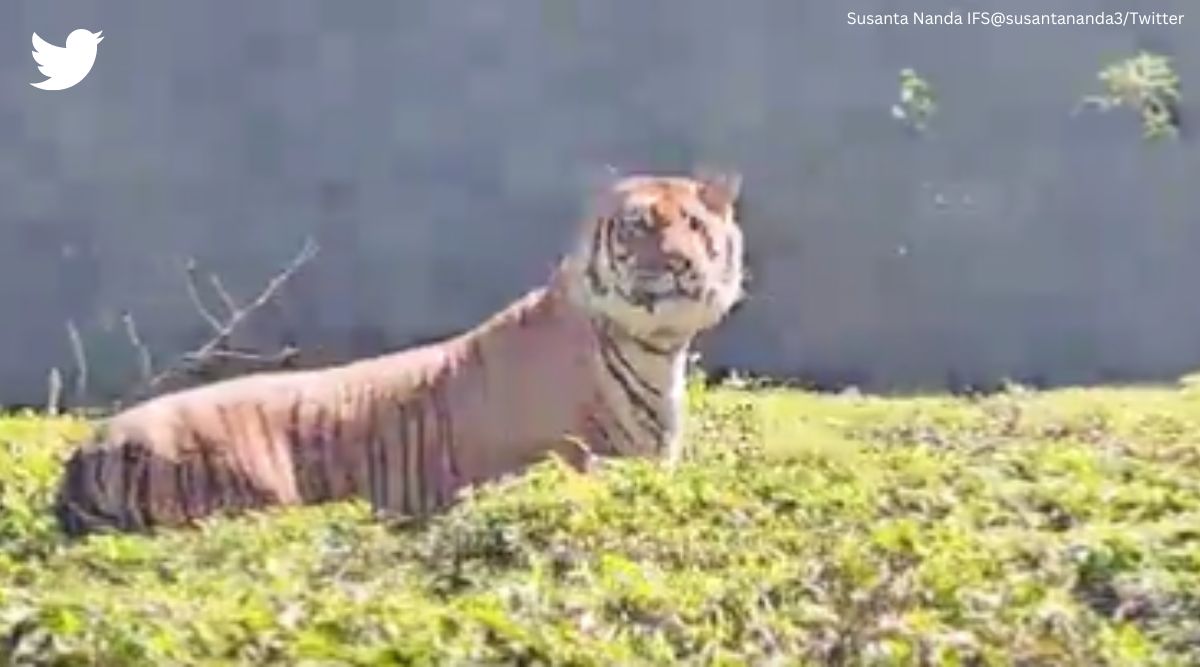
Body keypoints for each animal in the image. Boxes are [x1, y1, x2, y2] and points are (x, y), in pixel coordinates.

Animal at [53, 170, 747, 537]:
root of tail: (87, 448)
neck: (655, 351)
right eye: (639, 226)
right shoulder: (547, 467)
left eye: (695, 226)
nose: (679, 263)